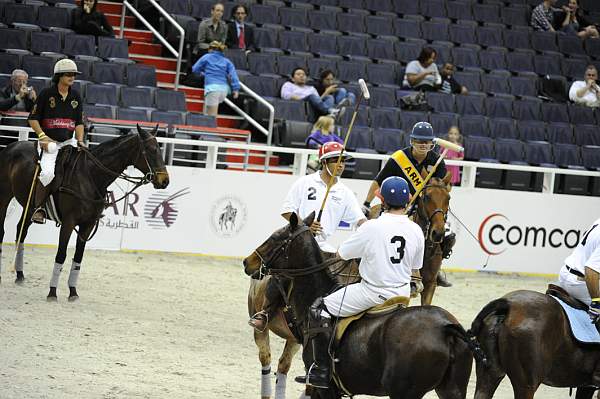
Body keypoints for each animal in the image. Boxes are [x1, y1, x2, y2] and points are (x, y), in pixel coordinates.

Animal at [0, 125, 169, 300]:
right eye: (150, 150)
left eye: (159, 149)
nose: (165, 181)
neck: (90, 176)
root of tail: (11, 146)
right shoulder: (68, 222)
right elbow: (61, 255)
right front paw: (52, 292)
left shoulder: (88, 224)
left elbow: (78, 257)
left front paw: (73, 291)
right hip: (4, 196)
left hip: (29, 206)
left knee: (21, 230)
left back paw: (19, 274)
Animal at [244, 214, 482, 398]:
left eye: (275, 238)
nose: (248, 262)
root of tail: (446, 329)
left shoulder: (326, 388)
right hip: (452, 389)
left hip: (404, 391)